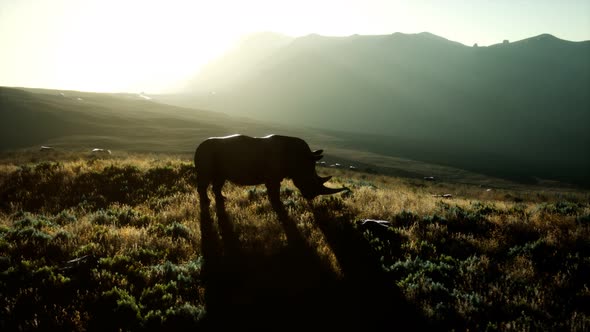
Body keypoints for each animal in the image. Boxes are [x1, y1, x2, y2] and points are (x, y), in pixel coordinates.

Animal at [194, 134, 352, 211]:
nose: (310, 197)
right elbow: (274, 190)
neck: (301, 160)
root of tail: (198, 147)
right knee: (205, 179)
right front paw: (278, 205)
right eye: (310, 180)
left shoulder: (275, 176)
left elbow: (273, 190)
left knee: (219, 180)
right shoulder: (273, 176)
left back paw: (222, 199)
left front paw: (275, 203)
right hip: (205, 153)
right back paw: (206, 202)